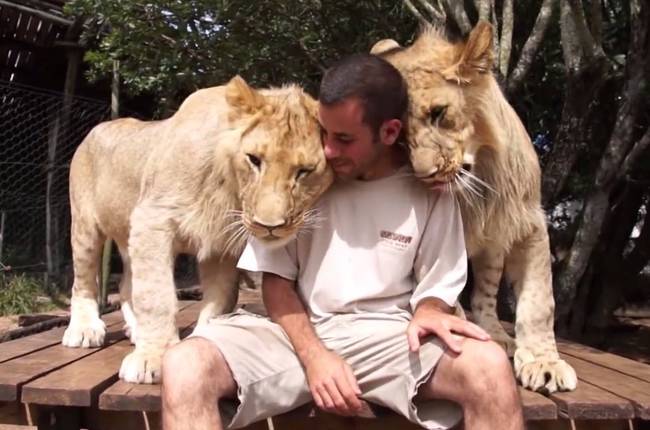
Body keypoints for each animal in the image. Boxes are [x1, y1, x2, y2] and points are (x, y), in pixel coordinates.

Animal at [62, 76, 332, 382]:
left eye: (304, 171)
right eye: (254, 159)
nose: (270, 226)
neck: (228, 191)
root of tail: (96, 128)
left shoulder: (222, 244)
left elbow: (220, 299)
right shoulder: (153, 219)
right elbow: (156, 295)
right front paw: (151, 357)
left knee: (126, 283)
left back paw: (135, 330)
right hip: (85, 225)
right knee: (84, 280)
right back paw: (84, 329)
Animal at [370, 23, 576, 394]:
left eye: (439, 113)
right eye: (400, 136)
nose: (426, 174)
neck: (479, 180)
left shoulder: (529, 222)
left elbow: (539, 302)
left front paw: (544, 363)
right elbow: (445, 301)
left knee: (486, 295)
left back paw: (496, 335)